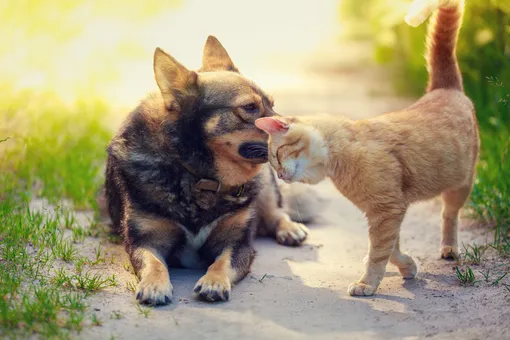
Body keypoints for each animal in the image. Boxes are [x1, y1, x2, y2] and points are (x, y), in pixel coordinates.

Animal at [101, 35, 312, 304]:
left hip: (264, 182)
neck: (197, 175)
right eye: (249, 107)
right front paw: (154, 285)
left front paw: (214, 281)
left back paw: (290, 228)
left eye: (272, 105)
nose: (305, 130)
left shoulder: (237, 243)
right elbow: (153, 262)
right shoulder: (144, 240)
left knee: (276, 211)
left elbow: (222, 263)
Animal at [255, 0, 478, 296]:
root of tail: (444, 88)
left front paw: (367, 283)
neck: (340, 155)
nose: (279, 176)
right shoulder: (385, 212)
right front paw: (407, 266)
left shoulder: (386, 210)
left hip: (460, 185)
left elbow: (379, 252)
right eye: (273, 165)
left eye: (277, 156)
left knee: (449, 215)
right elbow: (390, 249)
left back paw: (449, 248)